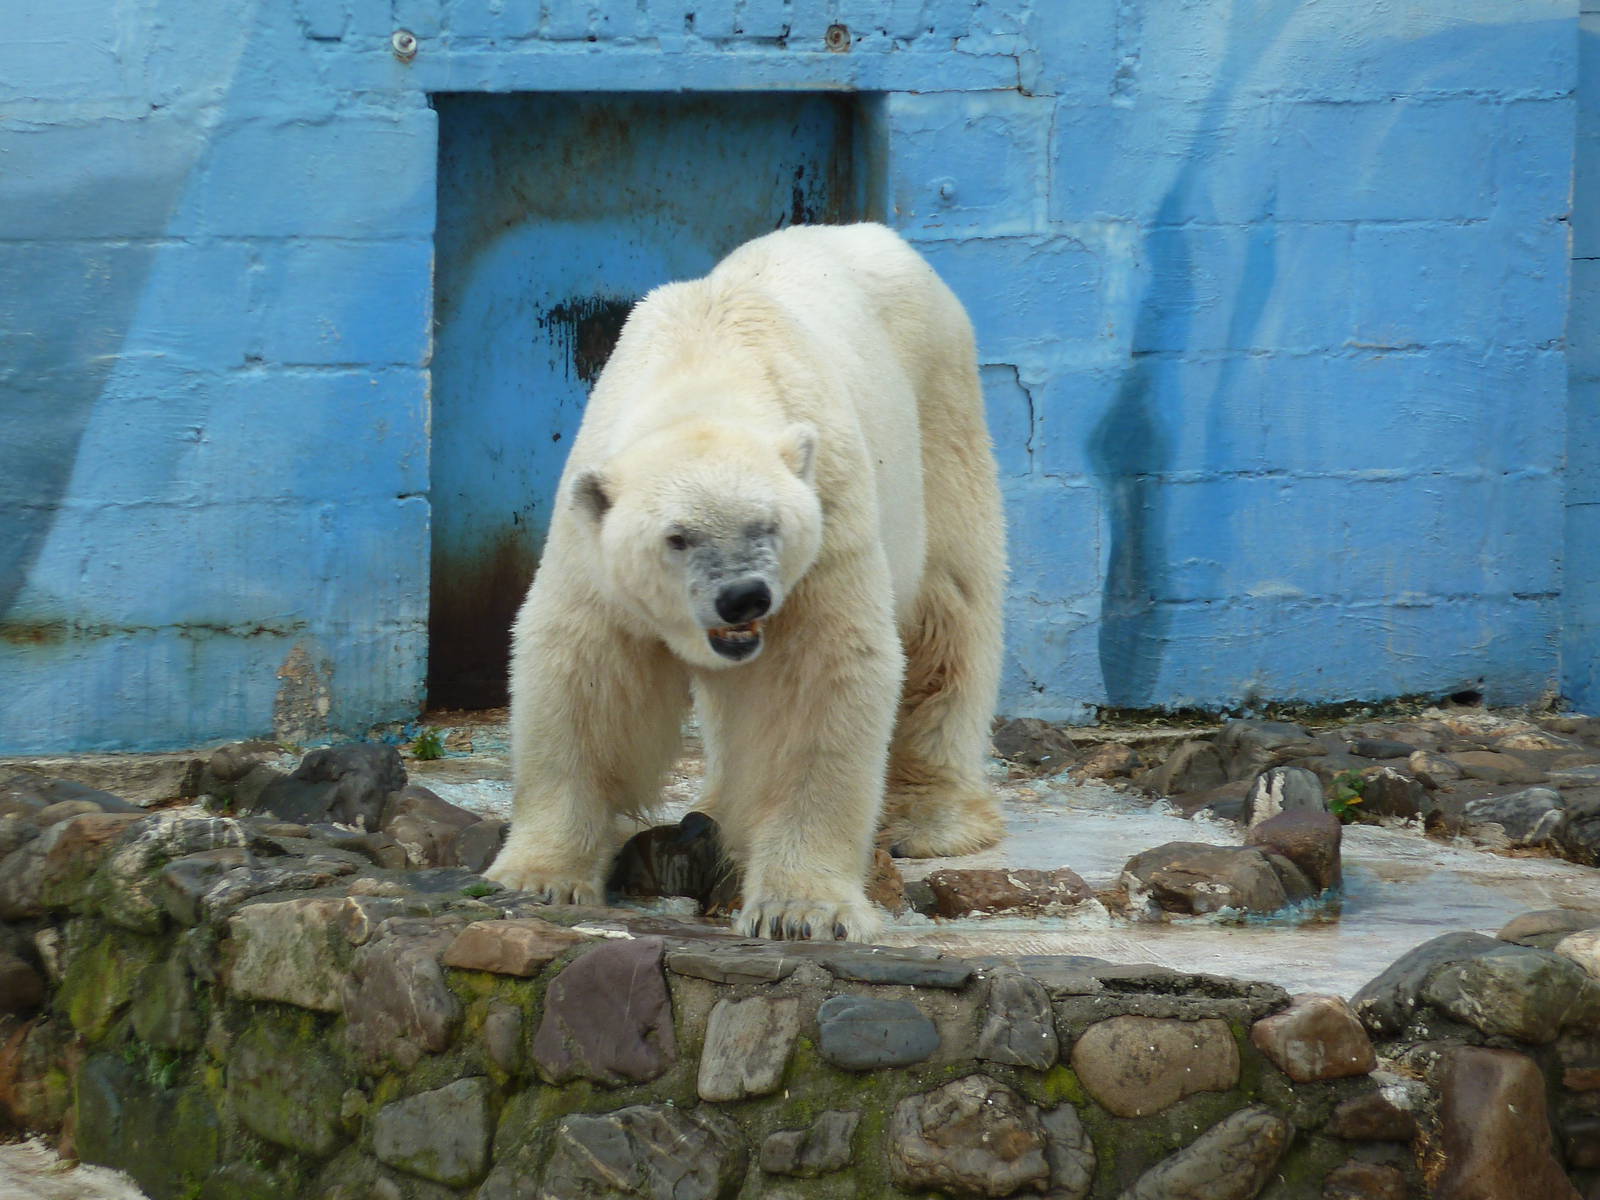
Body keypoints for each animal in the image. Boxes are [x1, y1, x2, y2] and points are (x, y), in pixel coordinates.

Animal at [485, 223, 1006, 941]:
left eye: (769, 524)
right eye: (677, 537)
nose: (743, 598)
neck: (707, 361)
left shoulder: (828, 517)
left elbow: (816, 683)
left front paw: (801, 911)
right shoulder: (589, 538)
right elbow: (586, 677)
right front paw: (539, 878)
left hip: (940, 413)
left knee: (950, 602)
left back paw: (928, 817)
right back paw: (714, 809)